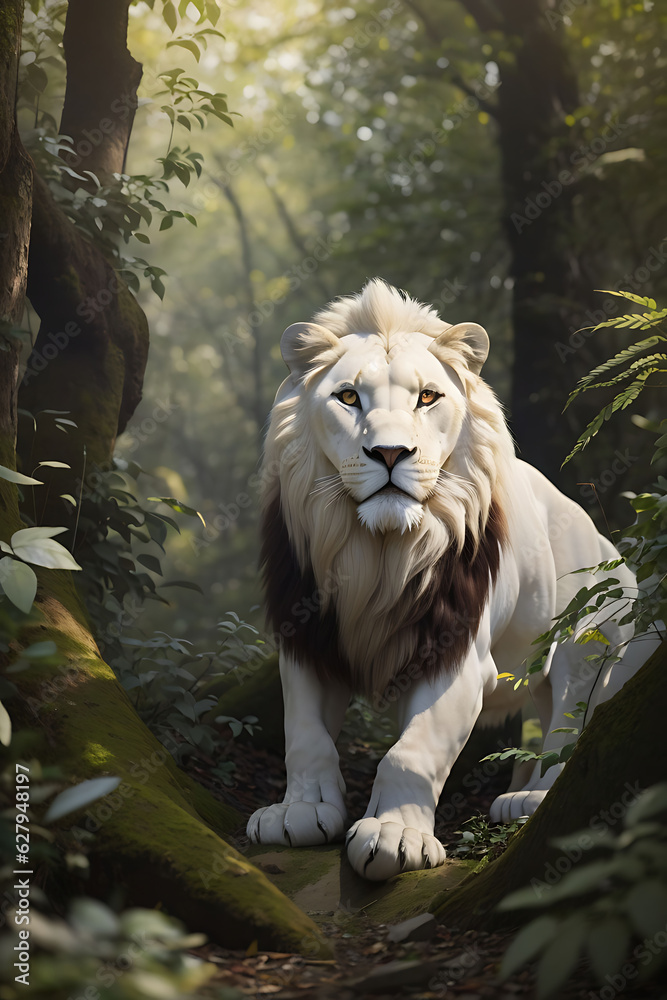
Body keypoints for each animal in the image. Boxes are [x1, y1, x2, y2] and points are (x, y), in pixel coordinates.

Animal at [247, 279, 660, 881]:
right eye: (348, 397)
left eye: (427, 397)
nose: (390, 452)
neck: (379, 554)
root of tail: (611, 549)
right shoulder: (308, 632)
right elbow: (305, 734)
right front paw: (298, 811)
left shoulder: (458, 650)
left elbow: (414, 749)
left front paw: (395, 834)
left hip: (591, 639)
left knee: (572, 724)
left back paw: (532, 799)